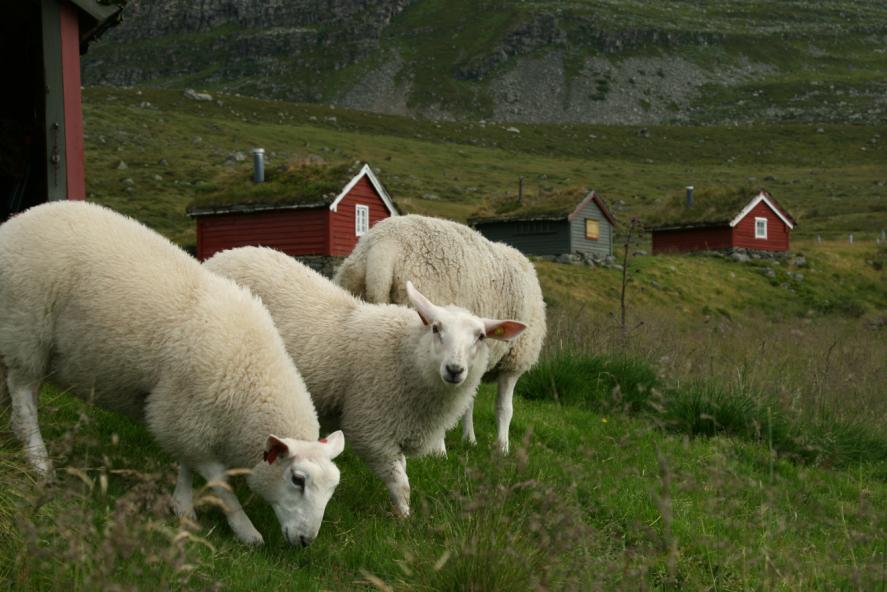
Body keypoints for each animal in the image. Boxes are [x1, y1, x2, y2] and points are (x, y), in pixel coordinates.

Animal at [0, 202, 346, 544]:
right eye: (297, 479)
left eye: (332, 489)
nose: (306, 541)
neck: (250, 378)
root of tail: (14, 221)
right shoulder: (181, 414)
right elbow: (217, 479)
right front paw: (244, 528)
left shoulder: (186, 416)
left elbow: (187, 464)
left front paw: (182, 506)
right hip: (26, 331)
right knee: (24, 398)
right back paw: (40, 463)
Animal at [204, 247, 524, 516]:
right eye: (436, 328)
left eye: (480, 337)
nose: (455, 369)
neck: (405, 355)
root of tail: (222, 255)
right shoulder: (373, 430)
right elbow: (401, 482)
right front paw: (404, 519)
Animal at [332, 213, 544, 454]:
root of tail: (384, 245)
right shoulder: (515, 361)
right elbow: (504, 408)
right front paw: (503, 449)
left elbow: (467, 401)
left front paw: (470, 439)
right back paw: (439, 450)